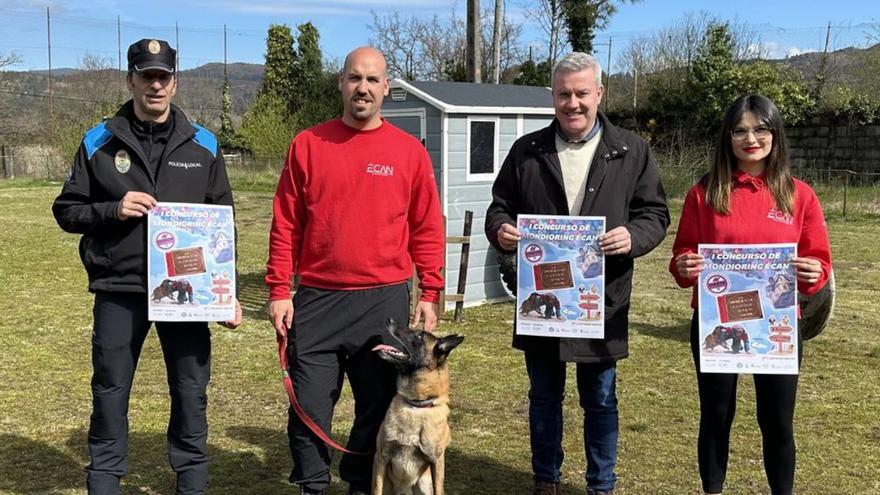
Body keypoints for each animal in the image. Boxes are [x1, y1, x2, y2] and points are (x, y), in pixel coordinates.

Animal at [372, 320, 468, 494]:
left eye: (419, 336)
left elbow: (439, 489)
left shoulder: (437, 462)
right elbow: (376, 489)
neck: (416, 405)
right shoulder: (381, 457)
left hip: (424, 483)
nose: (390, 320)